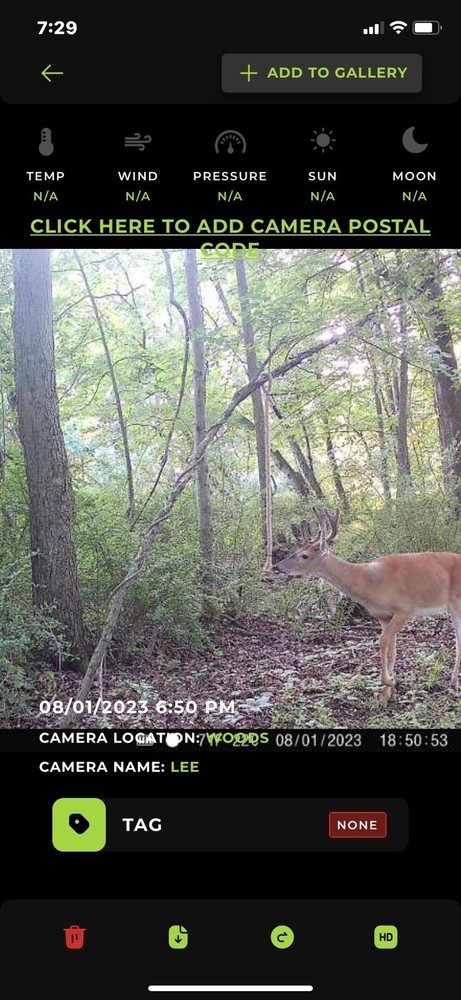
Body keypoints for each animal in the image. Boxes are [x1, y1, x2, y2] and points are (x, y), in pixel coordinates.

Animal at [275, 508, 461, 704]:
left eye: (305, 556)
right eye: (297, 550)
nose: (277, 566)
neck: (368, 581)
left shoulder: (406, 608)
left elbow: (382, 640)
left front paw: (388, 682)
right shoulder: (383, 615)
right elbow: (391, 649)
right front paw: (386, 694)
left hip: (456, 603)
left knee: (458, 642)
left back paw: (453, 685)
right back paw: (453, 683)